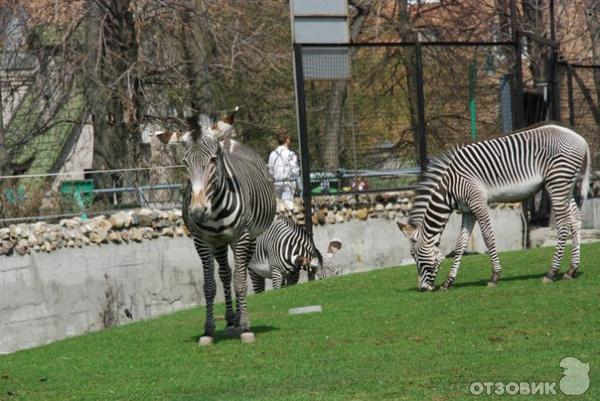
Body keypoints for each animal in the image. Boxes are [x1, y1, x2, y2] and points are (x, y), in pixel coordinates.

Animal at [179, 109, 276, 344]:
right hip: (220, 242)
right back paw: (232, 320)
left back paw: (239, 321)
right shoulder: (202, 241)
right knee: (225, 273)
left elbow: (240, 282)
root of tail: (229, 140)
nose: (197, 211)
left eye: (213, 160)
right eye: (185, 163)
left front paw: (246, 327)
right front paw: (208, 330)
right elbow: (209, 286)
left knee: (240, 272)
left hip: (250, 237)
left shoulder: (241, 237)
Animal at [398, 122, 592, 290]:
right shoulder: (468, 211)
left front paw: (494, 276)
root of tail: (581, 139)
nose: (423, 289)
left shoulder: (478, 203)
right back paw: (571, 270)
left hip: (557, 182)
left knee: (563, 225)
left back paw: (551, 273)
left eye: (414, 255)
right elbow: (460, 244)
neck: (449, 187)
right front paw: (448, 282)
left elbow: (488, 237)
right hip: (566, 184)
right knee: (575, 221)